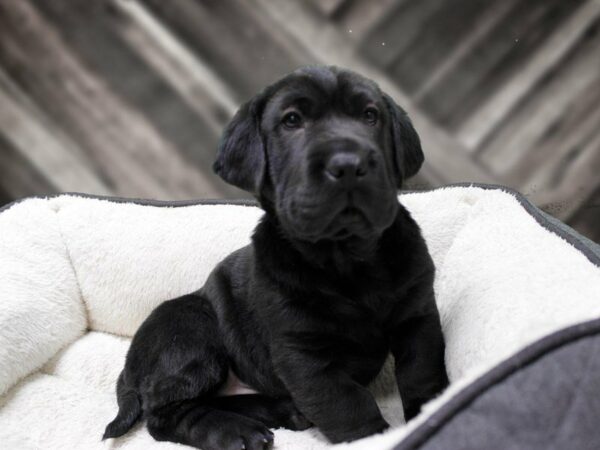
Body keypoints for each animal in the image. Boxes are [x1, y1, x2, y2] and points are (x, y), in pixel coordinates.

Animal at [104, 67, 450, 450]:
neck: (348, 258)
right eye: (292, 120)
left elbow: (422, 373)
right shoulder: (304, 354)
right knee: (165, 414)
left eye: (370, 115)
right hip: (191, 331)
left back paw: (286, 412)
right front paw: (373, 438)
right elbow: (346, 405)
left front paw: (432, 412)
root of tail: (128, 367)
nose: (349, 164)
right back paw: (237, 432)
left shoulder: (417, 317)